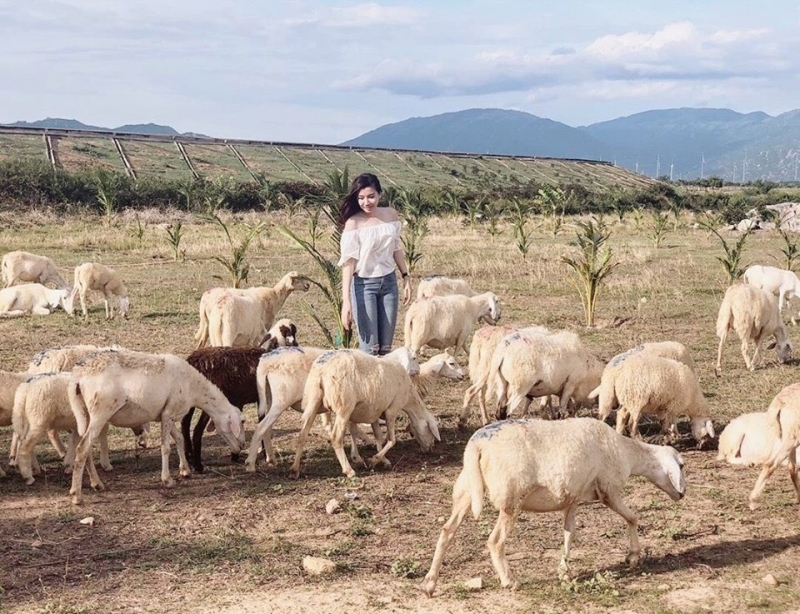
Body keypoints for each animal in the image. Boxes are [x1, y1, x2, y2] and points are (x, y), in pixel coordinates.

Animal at [67, 348, 244, 508]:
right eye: (242, 421)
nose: (241, 446)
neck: (194, 388)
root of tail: (78, 375)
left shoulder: (165, 414)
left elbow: (179, 439)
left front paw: (185, 470)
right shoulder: (169, 413)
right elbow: (165, 447)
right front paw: (167, 480)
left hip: (85, 413)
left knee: (85, 449)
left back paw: (96, 483)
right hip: (101, 412)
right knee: (82, 448)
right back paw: (77, 495)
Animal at [181, 320, 300, 474]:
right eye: (293, 332)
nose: (297, 346)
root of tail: (194, 361)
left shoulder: (246, 401)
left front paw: (241, 453)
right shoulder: (264, 399)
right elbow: (263, 424)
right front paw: (264, 454)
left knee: (185, 424)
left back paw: (188, 457)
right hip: (210, 401)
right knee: (197, 430)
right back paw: (198, 465)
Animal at [288, 348, 440, 478]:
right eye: (431, 431)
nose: (430, 449)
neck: (410, 397)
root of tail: (322, 370)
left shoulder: (375, 412)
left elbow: (378, 436)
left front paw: (382, 459)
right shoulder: (392, 409)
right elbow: (392, 440)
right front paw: (374, 460)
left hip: (314, 402)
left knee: (302, 435)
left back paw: (294, 469)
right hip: (344, 406)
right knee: (336, 438)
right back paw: (348, 470)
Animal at [418, 416, 688, 596]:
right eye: (682, 466)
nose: (682, 495)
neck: (628, 454)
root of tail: (477, 444)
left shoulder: (572, 499)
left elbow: (569, 533)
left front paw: (564, 571)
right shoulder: (608, 491)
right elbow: (633, 517)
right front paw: (633, 556)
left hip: (465, 490)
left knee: (447, 531)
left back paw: (430, 584)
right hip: (511, 496)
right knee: (495, 541)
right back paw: (509, 581)